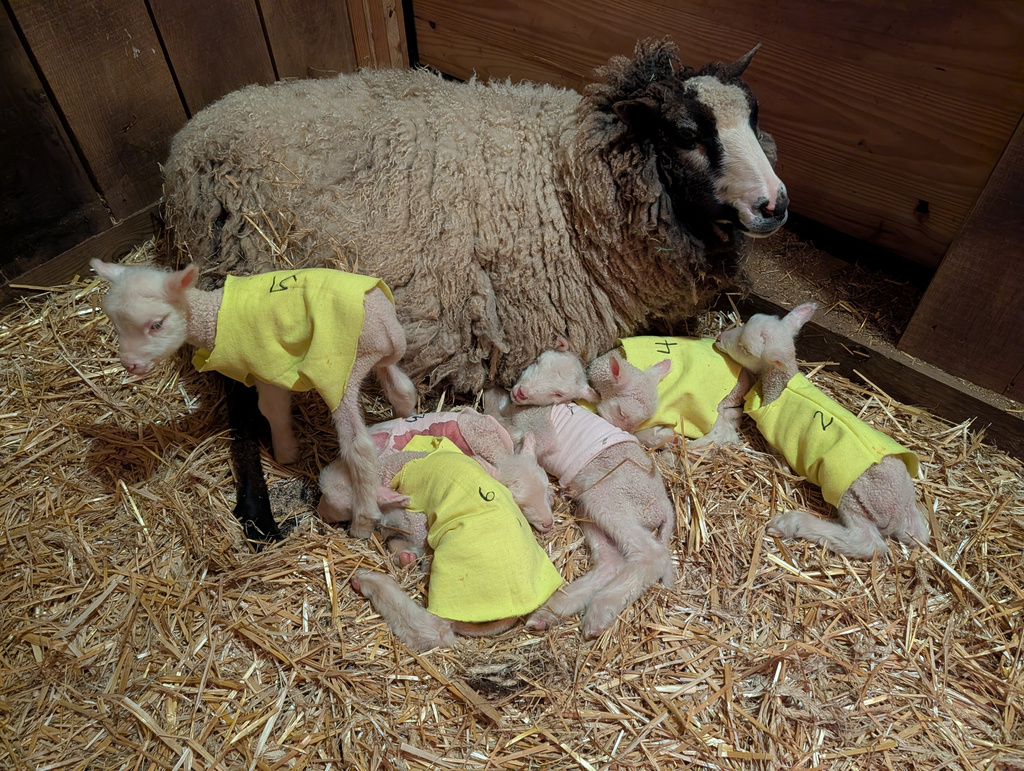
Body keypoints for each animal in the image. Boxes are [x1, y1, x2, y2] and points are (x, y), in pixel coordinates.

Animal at [89, 260, 417, 541]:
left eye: (156, 324)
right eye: (116, 324)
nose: (130, 365)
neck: (213, 316)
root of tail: (387, 324)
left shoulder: (266, 365)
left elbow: (271, 410)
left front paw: (285, 452)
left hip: (339, 372)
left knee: (359, 446)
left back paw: (363, 520)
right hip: (373, 358)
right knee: (402, 389)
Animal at [494, 348, 677, 639]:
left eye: (558, 393)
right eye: (536, 362)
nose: (519, 392)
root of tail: (666, 510)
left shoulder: (537, 426)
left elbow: (521, 440)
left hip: (610, 498)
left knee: (652, 554)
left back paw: (600, 611)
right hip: (589, 508)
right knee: (611, 562)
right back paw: (550, 611)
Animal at [714, 302, 931, 558]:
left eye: (744, 349)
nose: (719, 338)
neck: (781, 385)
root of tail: (900, 513)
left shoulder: (775, 438)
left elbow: (778, 458)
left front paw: (780, 466)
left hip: (853, 500)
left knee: (868, 544)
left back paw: (792, 523)